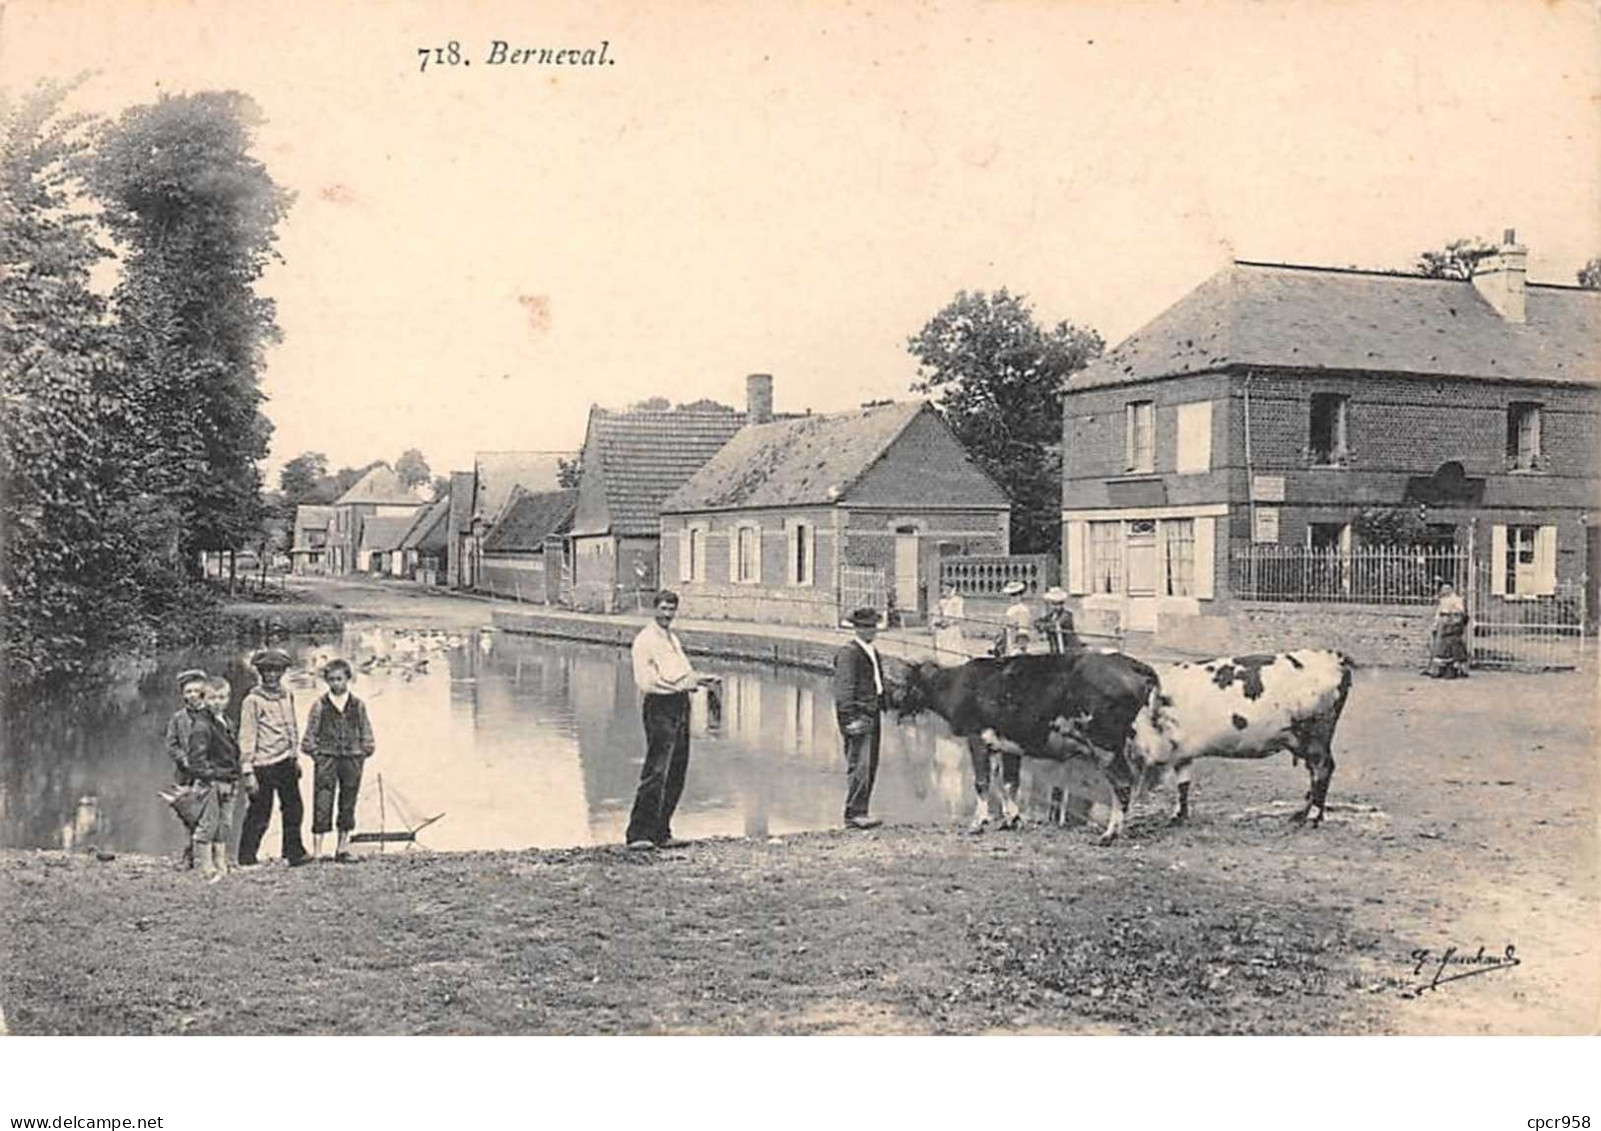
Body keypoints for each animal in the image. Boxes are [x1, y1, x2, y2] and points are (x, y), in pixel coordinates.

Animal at [890, 647, 1165, 839]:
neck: (959, 684)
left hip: (1105, 744)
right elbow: (1010, 784)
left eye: (906, 681)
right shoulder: (1008, 746)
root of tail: (1129, 663)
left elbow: (982, 783)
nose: (892, 702)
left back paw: (1110, 834)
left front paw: (978, 823)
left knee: (1122, 784)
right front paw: (1011, 820)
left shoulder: (976, 737)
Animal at [1120, 643, 1357, 826]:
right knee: (1315, 772)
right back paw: (1301, 815)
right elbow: (1183, 783)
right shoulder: (1180, 748)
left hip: (1315, 735)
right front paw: (1179, 817)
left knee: (1323, 769)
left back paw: (1311, 817)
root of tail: (1334, 657)